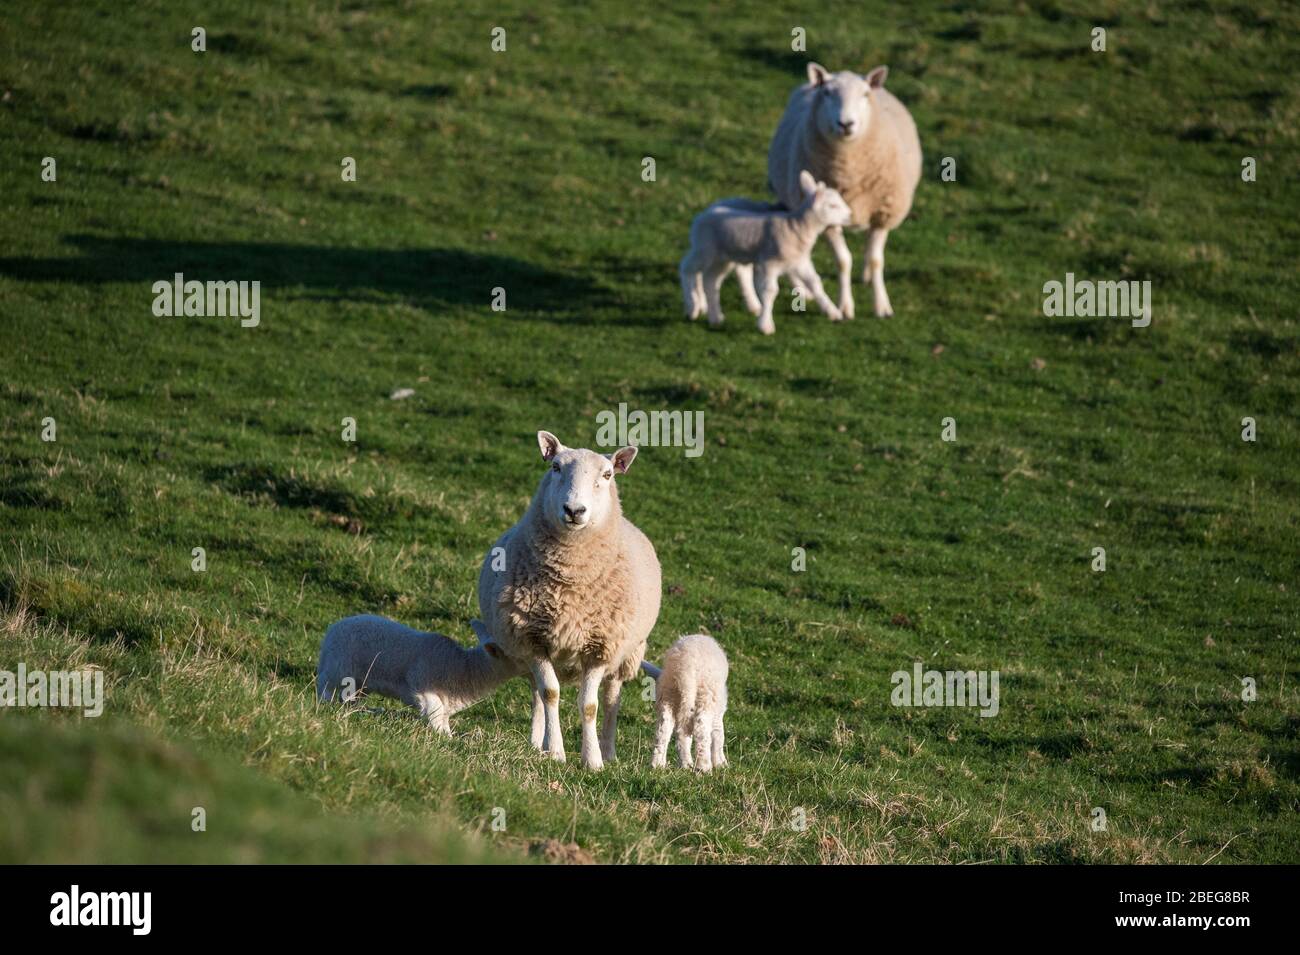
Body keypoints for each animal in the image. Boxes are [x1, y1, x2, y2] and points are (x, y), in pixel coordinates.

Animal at [317, 615, 525, 738]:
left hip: (360, 682)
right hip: (338, 666)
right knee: (324, 685)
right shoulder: (421, 683)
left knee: (350, 698)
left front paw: (447, 736)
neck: (464, 667)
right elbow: (434, 710)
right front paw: (444, 739)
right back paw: (325, 705)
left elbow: (442, 718)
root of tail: (332, 629)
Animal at [475, 428, 660, 774]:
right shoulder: (532, 640)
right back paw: (539, 743)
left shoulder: (600, 647)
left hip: (627, 653)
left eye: (607, 474)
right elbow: (549, 694)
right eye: (555, 467)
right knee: (539, 692)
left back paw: (609, 750)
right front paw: (557, 752)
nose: (575, 510)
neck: (570, 582)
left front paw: (593, 760)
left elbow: (590, 705)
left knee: (612, 697)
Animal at [642, 634, 728, 779]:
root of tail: (686, 666)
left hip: (669, 693)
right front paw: (721, 763)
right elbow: (718, 735)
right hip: (704, 695)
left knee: (665, 729)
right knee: (700, 729)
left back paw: (661, 764)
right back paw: (703, 767)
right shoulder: (717, 712)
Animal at [681, 170, 852, 337]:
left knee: (711, 280)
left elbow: (815, 282)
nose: (850, 215)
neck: (796, 227)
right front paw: (765, 325)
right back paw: (693, 306)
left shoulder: (800, 262)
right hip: (704, 249)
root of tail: (702, 215)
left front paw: (832, 311)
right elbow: (770, 291)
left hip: (723, 258)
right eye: (833, 205)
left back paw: (716, 317)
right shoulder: (770, 263)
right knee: (687, 268)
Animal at [769, 61, 925, 319]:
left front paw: (882, 305)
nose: (846, 124)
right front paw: (845, 307)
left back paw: (867, 276)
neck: (850, 168)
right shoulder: (828, 219)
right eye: (827, 93)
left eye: (865, 94)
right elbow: (843, 261)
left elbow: (877, 260)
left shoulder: (883, 213)